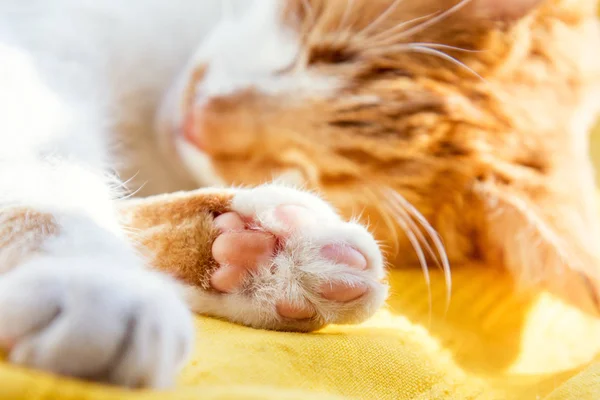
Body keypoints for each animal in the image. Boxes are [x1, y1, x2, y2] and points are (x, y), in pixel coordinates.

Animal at [1, 0, 600, 390]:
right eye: (327, 54)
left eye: (311, 171)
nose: (200, 123)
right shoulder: (41, 48)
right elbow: (47, 169)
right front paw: (87, 275)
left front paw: (254, 258)